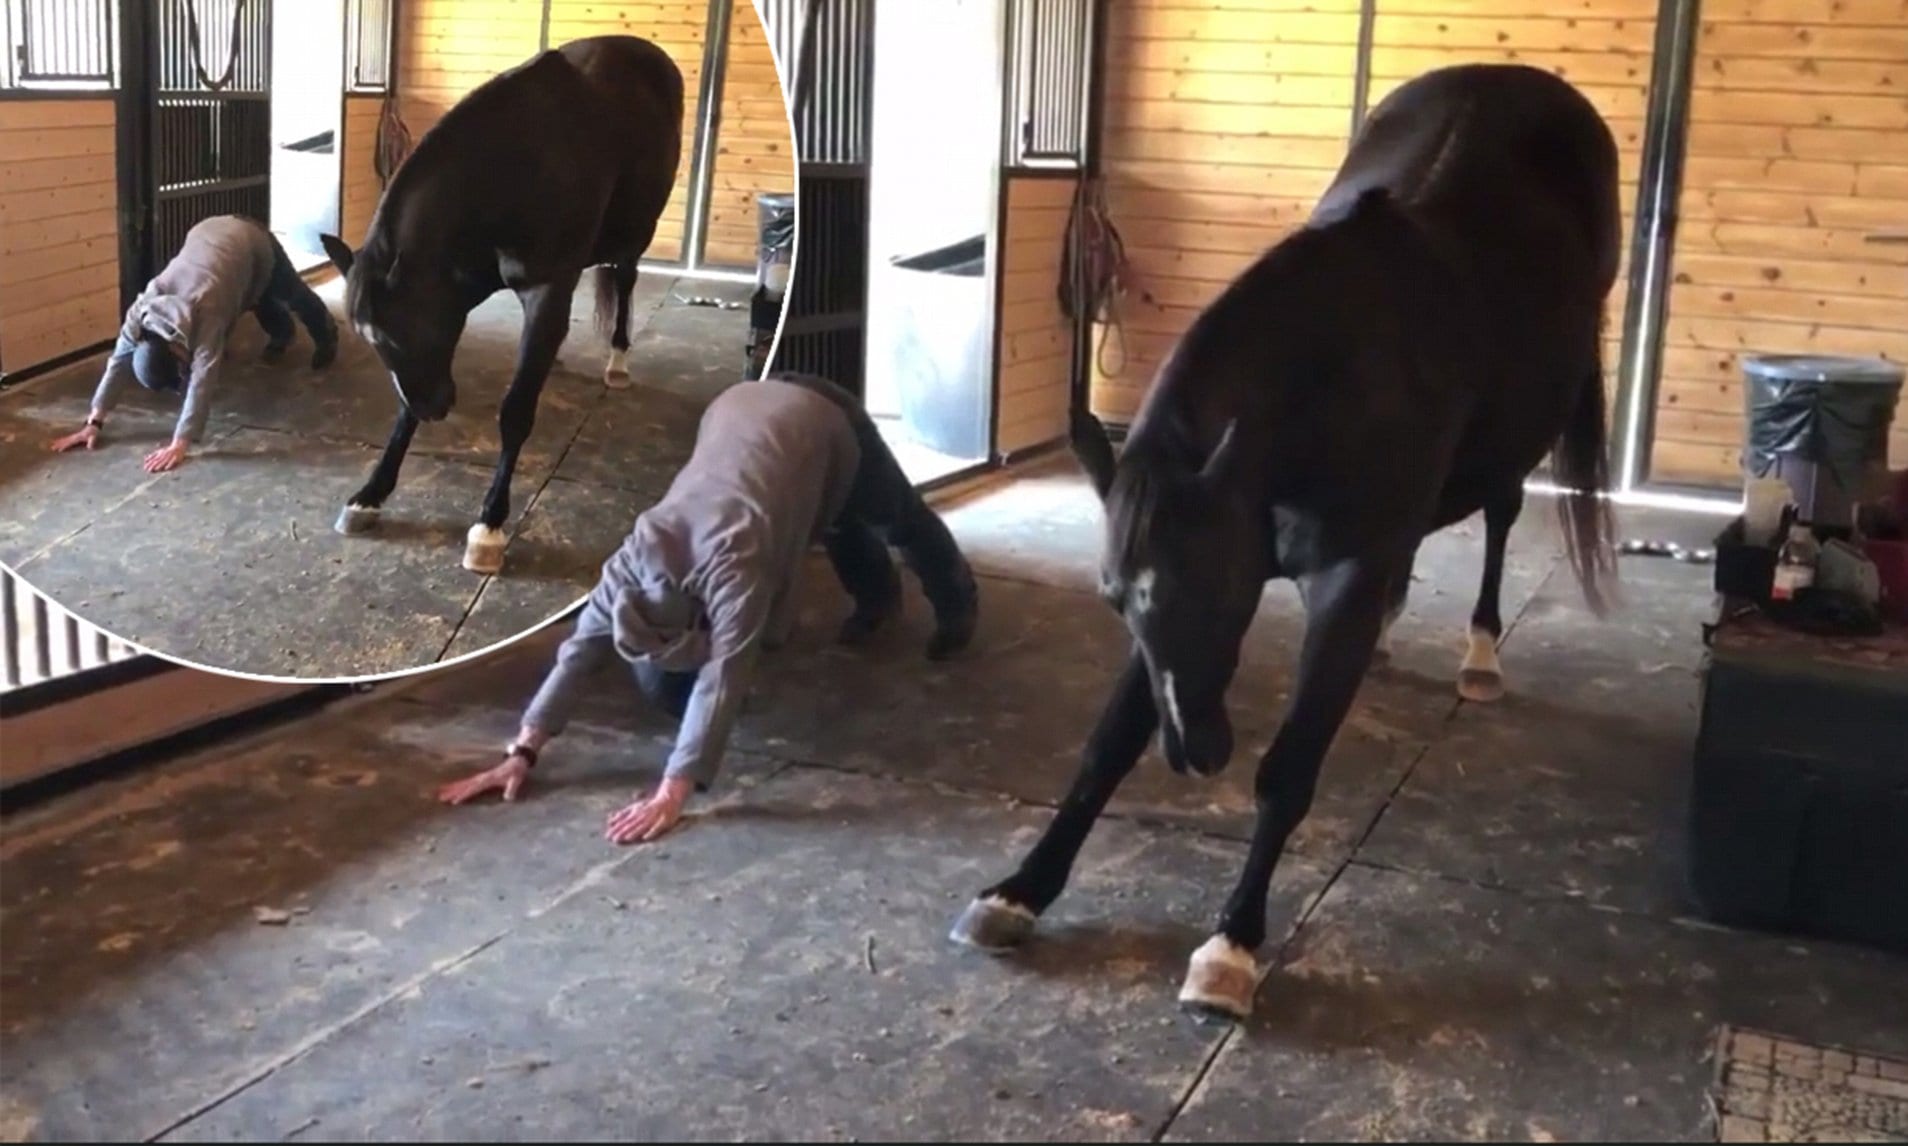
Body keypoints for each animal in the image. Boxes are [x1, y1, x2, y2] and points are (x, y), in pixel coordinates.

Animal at [320, 34, 686, 572]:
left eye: (395, 331)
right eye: (372, 339)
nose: (434, 408)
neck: (515, 170)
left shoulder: (545, 289)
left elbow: (515, 411)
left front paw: (489, 526)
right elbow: (404, 407)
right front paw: (369, 496)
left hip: (635, 234)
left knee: (625, 280)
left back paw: (617, 362)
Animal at [946, 64, 1617, 1022]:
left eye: (1224, 591)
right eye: (1113, 599)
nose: (1196, 754)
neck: (1337, 380)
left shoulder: (1335, 581)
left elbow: (1288, 769)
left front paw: (1230, 948)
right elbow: (1107, 743)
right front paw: (1018, 892)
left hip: (1514, 451)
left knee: (1499, 516)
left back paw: (1482, 655)